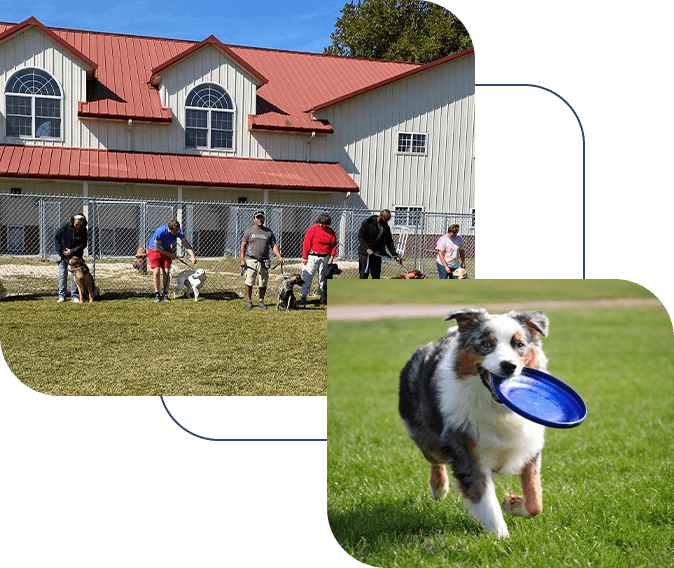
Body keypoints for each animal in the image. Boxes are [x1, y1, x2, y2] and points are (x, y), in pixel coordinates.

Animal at [396, 308, 548, 540]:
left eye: (519, 344)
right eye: (486, 344)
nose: (509, 366)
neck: (497, 408)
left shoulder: (530, 445)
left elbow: (535, 500)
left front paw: (512, 504)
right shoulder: (466, 452)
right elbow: (487, 501)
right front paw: (501, 538)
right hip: (429, 441)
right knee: (435, 459)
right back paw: (439, 488)